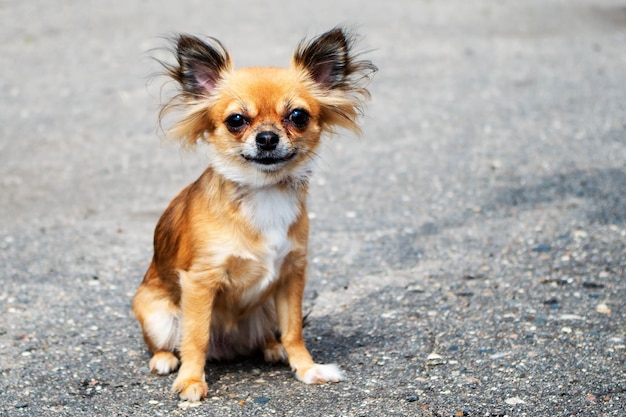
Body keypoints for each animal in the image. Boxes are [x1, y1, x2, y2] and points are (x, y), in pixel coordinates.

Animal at [132, 26, 376, 400]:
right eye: (236, 120)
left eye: (298, 116)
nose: (267, 138)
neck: (265, 191)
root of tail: (228, 346)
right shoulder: (200, 281)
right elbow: (195, 337)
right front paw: (191, 381)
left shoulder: (291, 275)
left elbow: (294, 331)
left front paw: (307, 368)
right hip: (155, 311)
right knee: (169, 342)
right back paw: (164, 359)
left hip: (268, 309)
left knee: (270, 336)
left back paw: (273, 349)